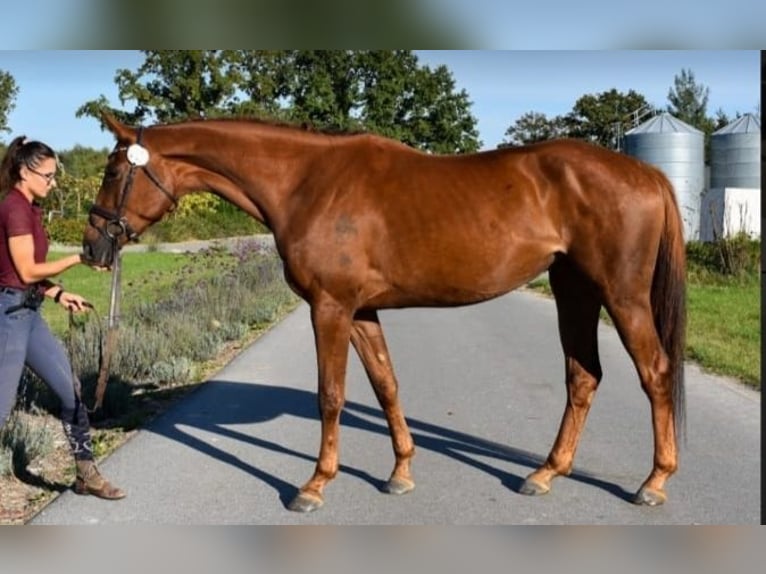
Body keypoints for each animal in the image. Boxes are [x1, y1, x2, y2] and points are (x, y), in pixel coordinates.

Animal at [84, 111, 688, 512]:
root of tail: (647, 174)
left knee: (654, 373)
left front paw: (314, 485)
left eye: (113, 172)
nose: (93, 249)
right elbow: (386, 385)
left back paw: (655, 482)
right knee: (583, 376)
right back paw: (545, 473)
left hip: (621, 296)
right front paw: (400, 471)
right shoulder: (360, 312)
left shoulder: (330, 308)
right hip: (575, 290)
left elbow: (331, 395)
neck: (305, 183)